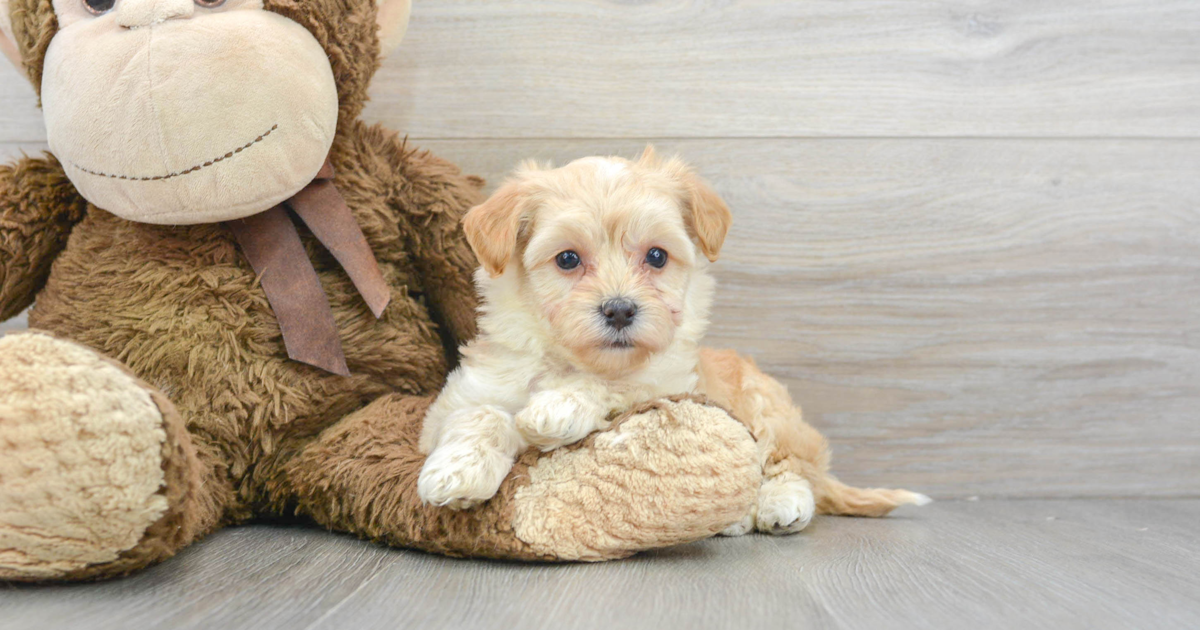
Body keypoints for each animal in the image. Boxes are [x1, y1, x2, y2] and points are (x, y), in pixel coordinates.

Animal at [417, 148, 931, 535]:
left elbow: (616, 388)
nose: (620, 310)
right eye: (567, 259)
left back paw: (778, 505)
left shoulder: (667, 387)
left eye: (657, 256)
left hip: (768, 408)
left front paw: (558, 407)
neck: (574, 362)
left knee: (794, 467)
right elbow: (480, 414)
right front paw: (457, 472)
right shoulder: (456, 402)